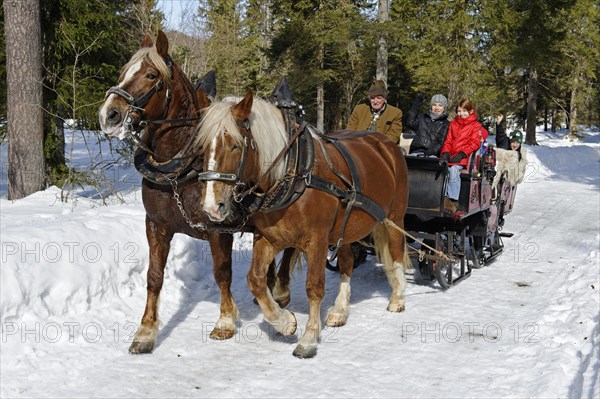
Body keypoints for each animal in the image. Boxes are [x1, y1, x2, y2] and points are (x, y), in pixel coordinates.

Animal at [98, 32, 296, 356]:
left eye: (151, 75)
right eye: (122, 73)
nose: (109, 114)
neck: (177, 168)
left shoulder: (218, 228)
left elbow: (222, 273)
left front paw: (225, 321)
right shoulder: (156, 225)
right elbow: (154, 277)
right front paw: (146, 331)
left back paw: (279, 291)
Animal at [199, 90, 410, 360]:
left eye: (235, 145)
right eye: (204, 146)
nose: (211, 207)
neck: (293, 171)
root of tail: (387, 144)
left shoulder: (317, 240)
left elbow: (314, 287)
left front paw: (308, 339)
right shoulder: (268, 237)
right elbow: (255, 280)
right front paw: (284, 321)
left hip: (394, 217)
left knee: (396, 251)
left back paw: (397, 298)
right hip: (346, 227)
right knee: (347, 262)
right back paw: (340, 310)